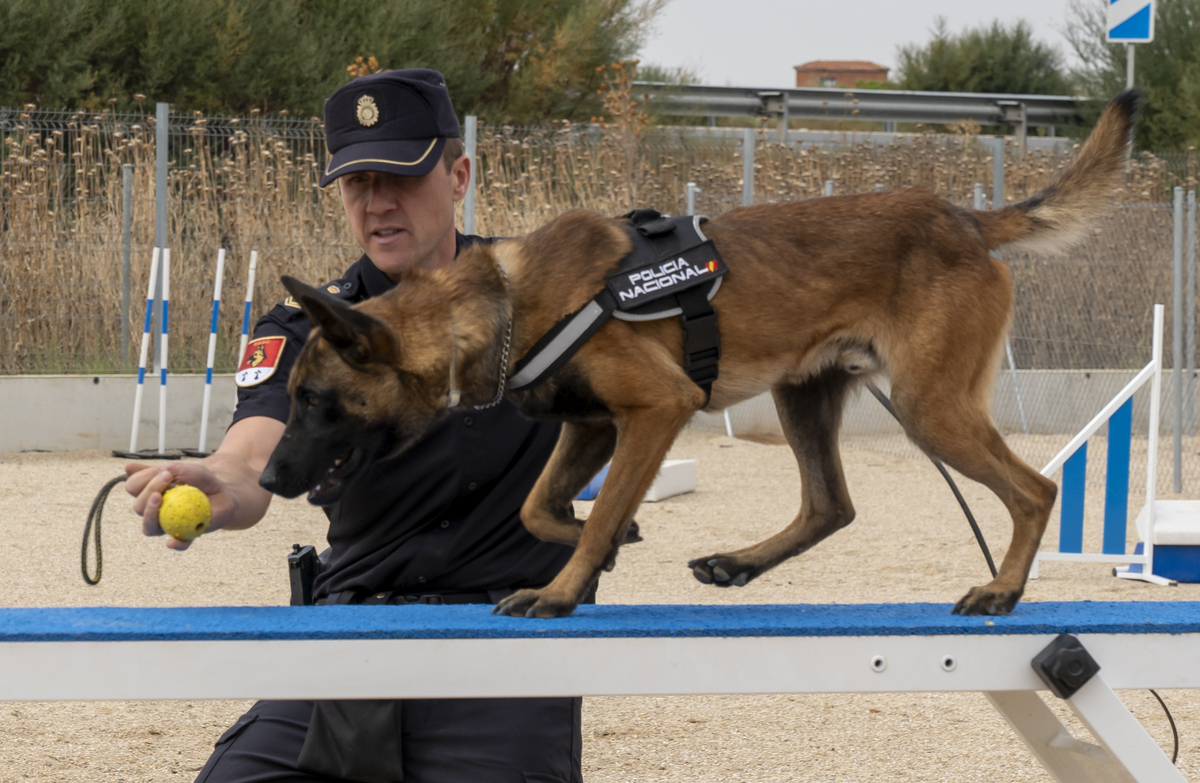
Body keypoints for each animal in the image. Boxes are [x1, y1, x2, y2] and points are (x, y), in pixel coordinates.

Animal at [262, 90, 1142, 619]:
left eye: (313, 399)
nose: (267, 477)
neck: (505, 304)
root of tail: (962, 216)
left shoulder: (657, 410)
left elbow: (592, 511)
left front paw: (563, 587)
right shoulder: (593, 427)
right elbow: (543, 506)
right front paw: (605, 540)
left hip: (931, 407)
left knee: (1034, 488)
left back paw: (1002, 588)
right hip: (805, 395)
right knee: (831, 504)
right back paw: (737, 565)